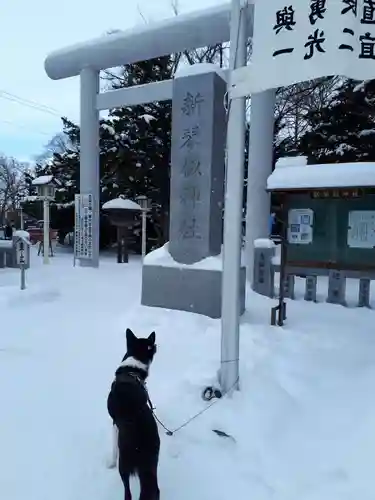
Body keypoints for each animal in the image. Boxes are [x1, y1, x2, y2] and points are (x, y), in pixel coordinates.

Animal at [106, 328, 159, 500]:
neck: (132, 370)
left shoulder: (114, 424)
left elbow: (113, 448)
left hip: (124, 465)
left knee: (127, 493)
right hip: (151, 465)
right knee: (154, 491)